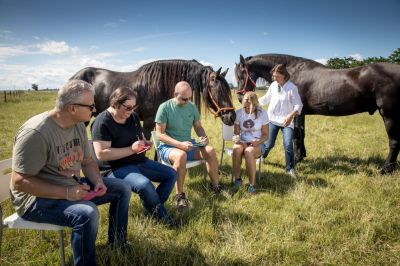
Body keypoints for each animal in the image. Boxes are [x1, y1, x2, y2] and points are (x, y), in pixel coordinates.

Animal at [234, 54, 400, 175]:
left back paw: (386, 169)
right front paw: (302, 156)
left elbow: (296, 135)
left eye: (241, 75)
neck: (294, 72)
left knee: (394, 142)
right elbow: (302, 134)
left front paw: (296, 159)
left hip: (389, 115)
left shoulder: (297, 112)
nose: (241, 98)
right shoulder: (302, 113)